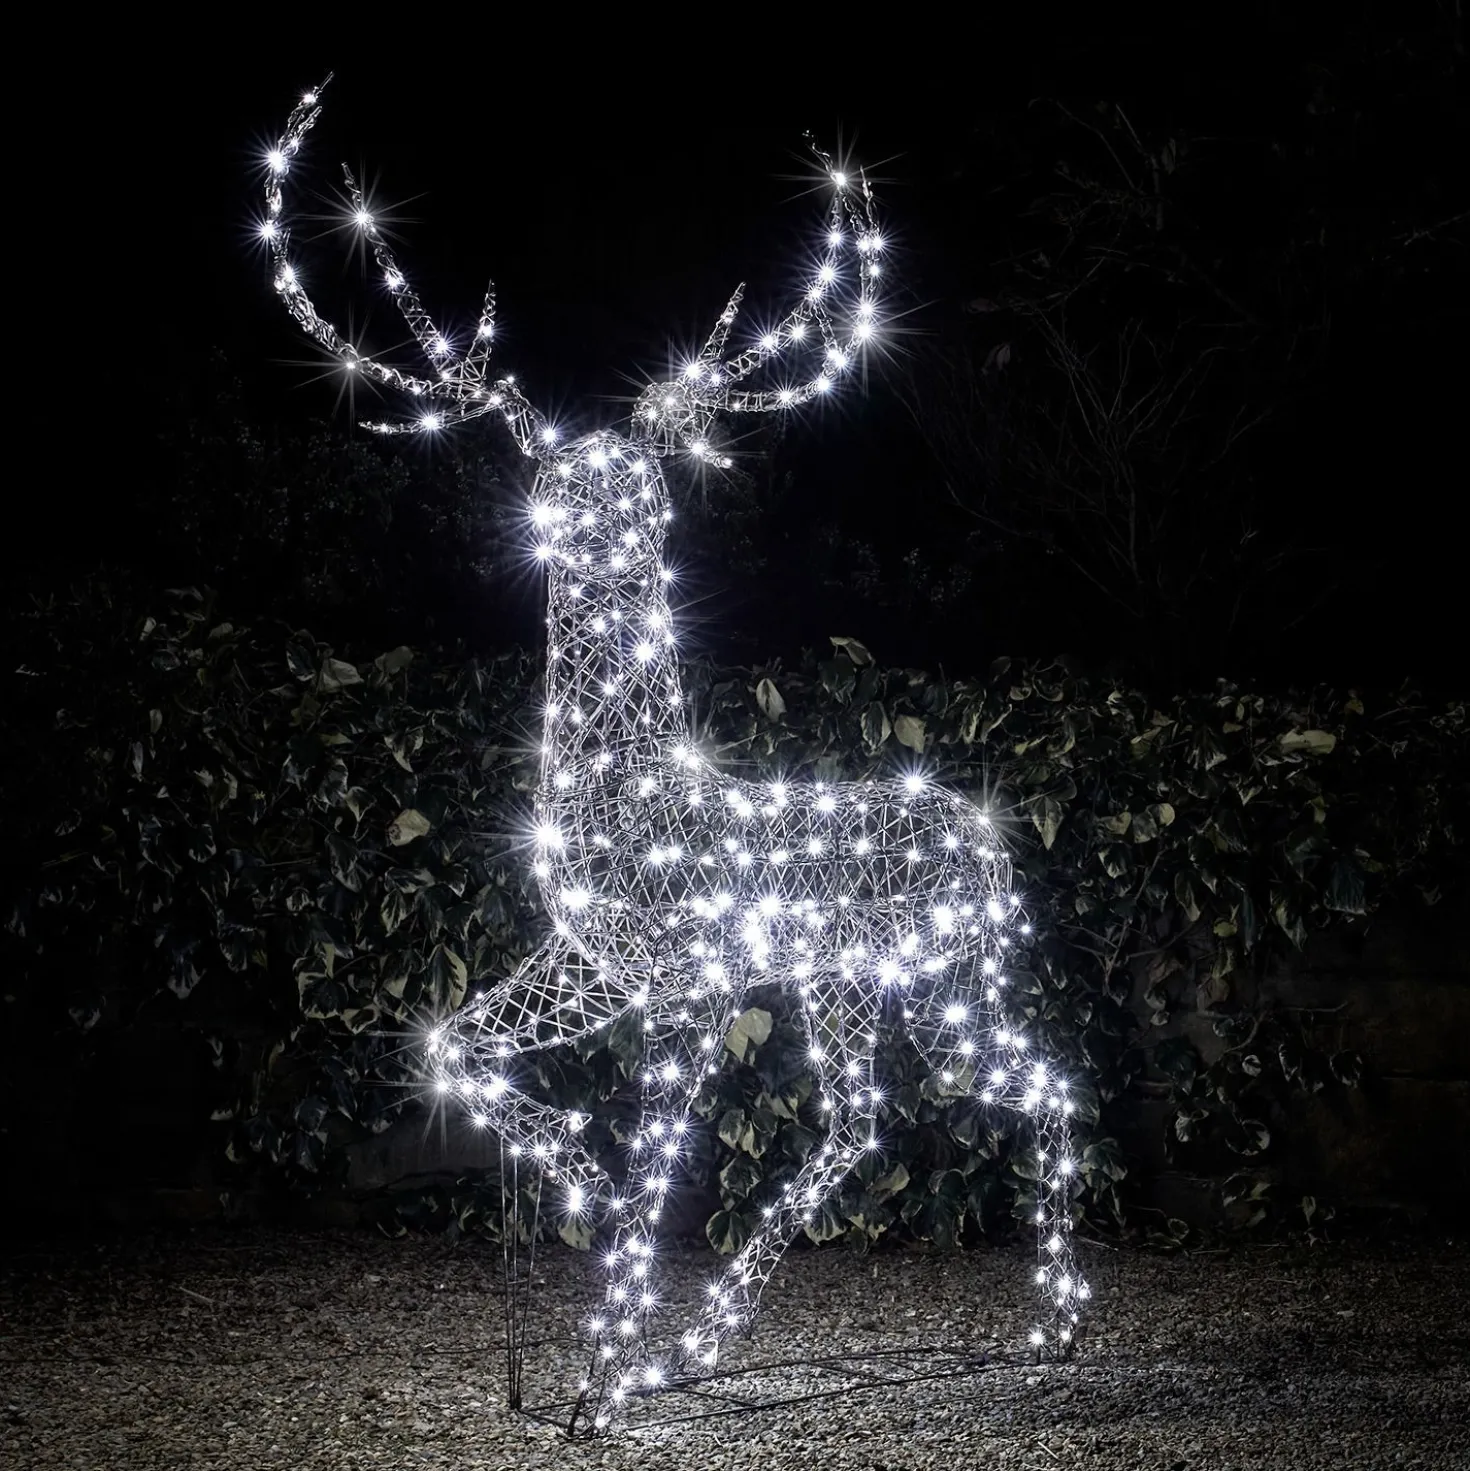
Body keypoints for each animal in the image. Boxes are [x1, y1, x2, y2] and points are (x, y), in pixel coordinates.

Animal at [260, 77, 1088, 1433]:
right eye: (558, 481)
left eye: (637, 489)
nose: (582, 528)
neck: (628, 792)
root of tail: (984, 832)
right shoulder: (586, 965)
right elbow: (447, 1048)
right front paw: (581, 1237)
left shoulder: (689, 985)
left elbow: (661, 1173)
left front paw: (600, 1376)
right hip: (861, 977)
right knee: (874, 1117)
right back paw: (713, 1338)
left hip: (940, 967)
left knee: (1030, 1088)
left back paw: (1053, 1331)